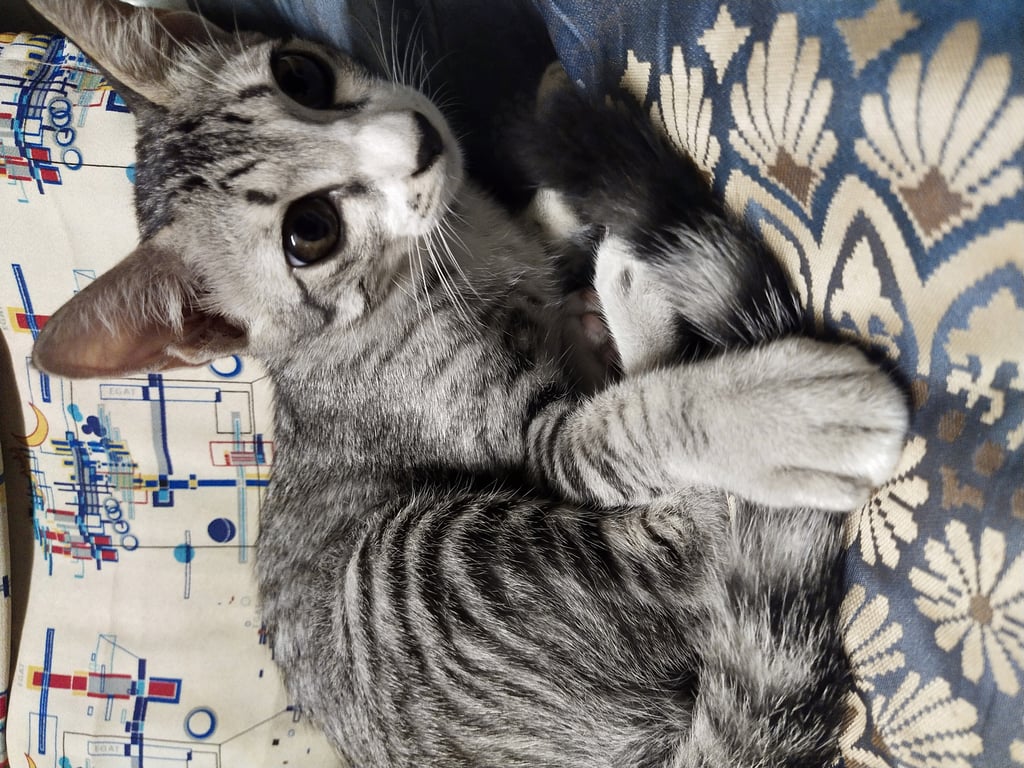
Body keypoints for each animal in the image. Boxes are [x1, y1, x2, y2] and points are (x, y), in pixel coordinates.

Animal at [27, 1, 909, 766]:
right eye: (310, 231)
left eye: (300, 73)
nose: (415, 138)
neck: (455, 249)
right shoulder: (531, 438)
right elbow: (622, 428)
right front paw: (794, 410)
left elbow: (544, 221)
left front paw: (553, 176)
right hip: (400, 562)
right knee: (688, 534)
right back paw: (639, 293)